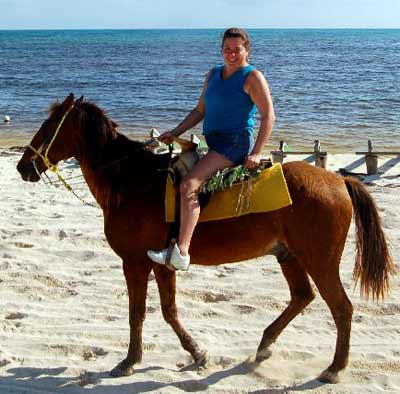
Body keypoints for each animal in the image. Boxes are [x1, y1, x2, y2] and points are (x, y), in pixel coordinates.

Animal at [16, 94, 394, 384]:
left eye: (49, 126)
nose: (23, 166)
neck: (132, 182)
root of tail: (339, 180)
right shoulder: (160, 265)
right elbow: (168, 311)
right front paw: (197, 353)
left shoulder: (135, 263)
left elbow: (139, 312)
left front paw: (130, 361)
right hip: (288, 255)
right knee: (302, 296)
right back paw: (265, 345)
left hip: (319, 259)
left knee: (341, 307)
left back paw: (334, 368)